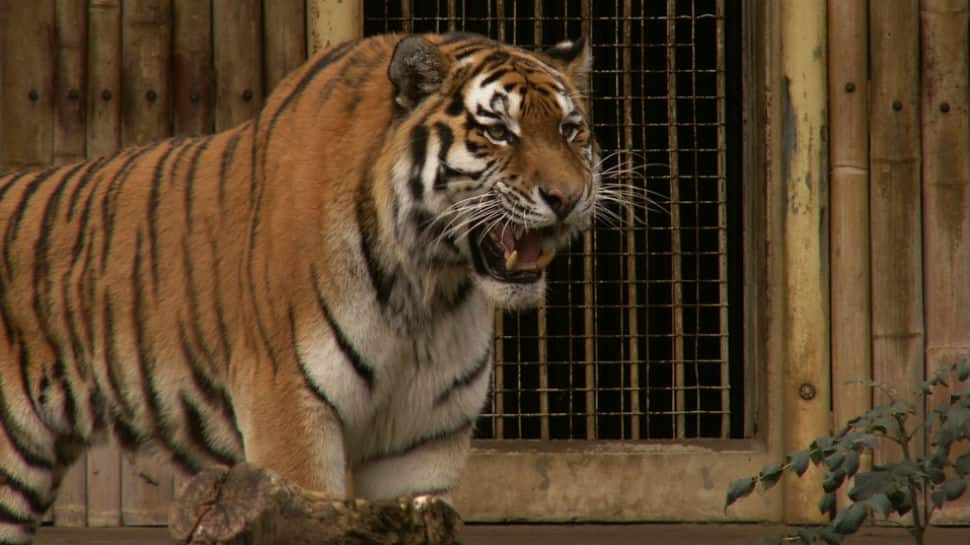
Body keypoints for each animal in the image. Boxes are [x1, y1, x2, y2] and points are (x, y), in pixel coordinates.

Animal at [0, 33, 596, 540]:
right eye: (498, 132)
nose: (568, 197)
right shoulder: (289, 412)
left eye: (570, 130)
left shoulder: (423, 442)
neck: (429, 289)